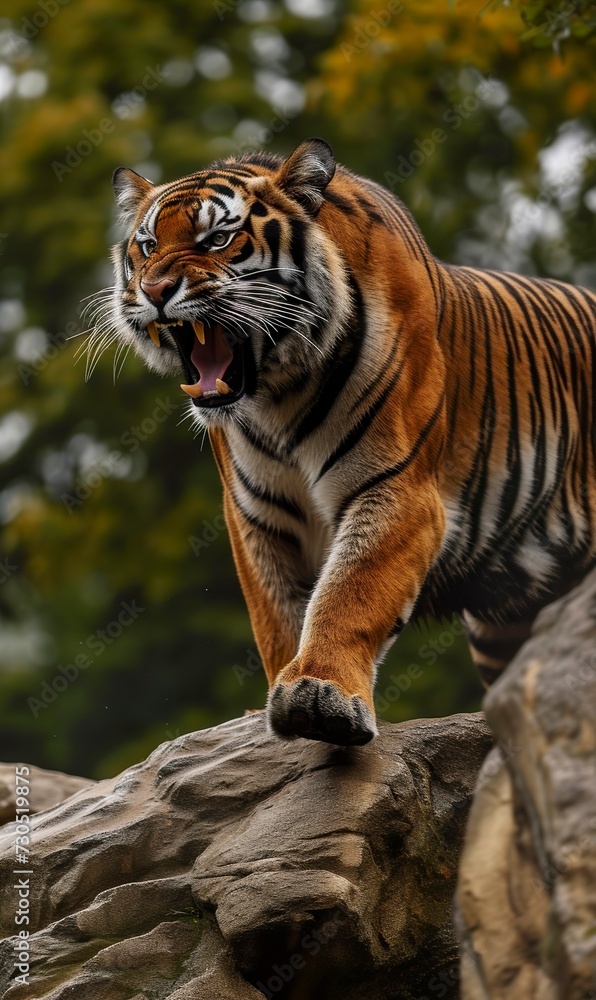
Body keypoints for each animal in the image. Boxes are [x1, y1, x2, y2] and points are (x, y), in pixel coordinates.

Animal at [104, 137, 596, 746]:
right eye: (147, 246)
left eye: (217, 239)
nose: (152, 291)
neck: (278, 396)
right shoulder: (255, 516)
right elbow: (279, 618)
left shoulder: (396, 489)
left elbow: (350, 592)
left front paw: (319, 693)